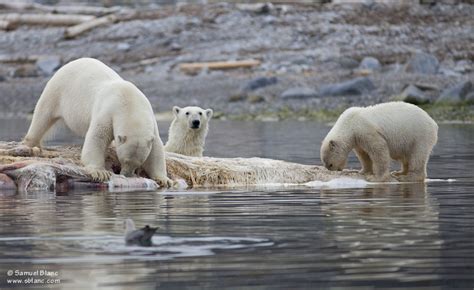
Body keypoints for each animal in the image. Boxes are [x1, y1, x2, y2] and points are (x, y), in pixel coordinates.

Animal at [22, 57, 173, 187]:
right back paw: (30, 143)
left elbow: (156, 149)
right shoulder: (107, 112)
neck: (130, 102)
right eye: (124, 160)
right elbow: (97, 137)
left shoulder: (151, 120)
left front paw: (164, 180)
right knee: (43, 115)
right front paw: (100, 172)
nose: (126, 174)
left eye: (139, 163)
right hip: (57, 90)